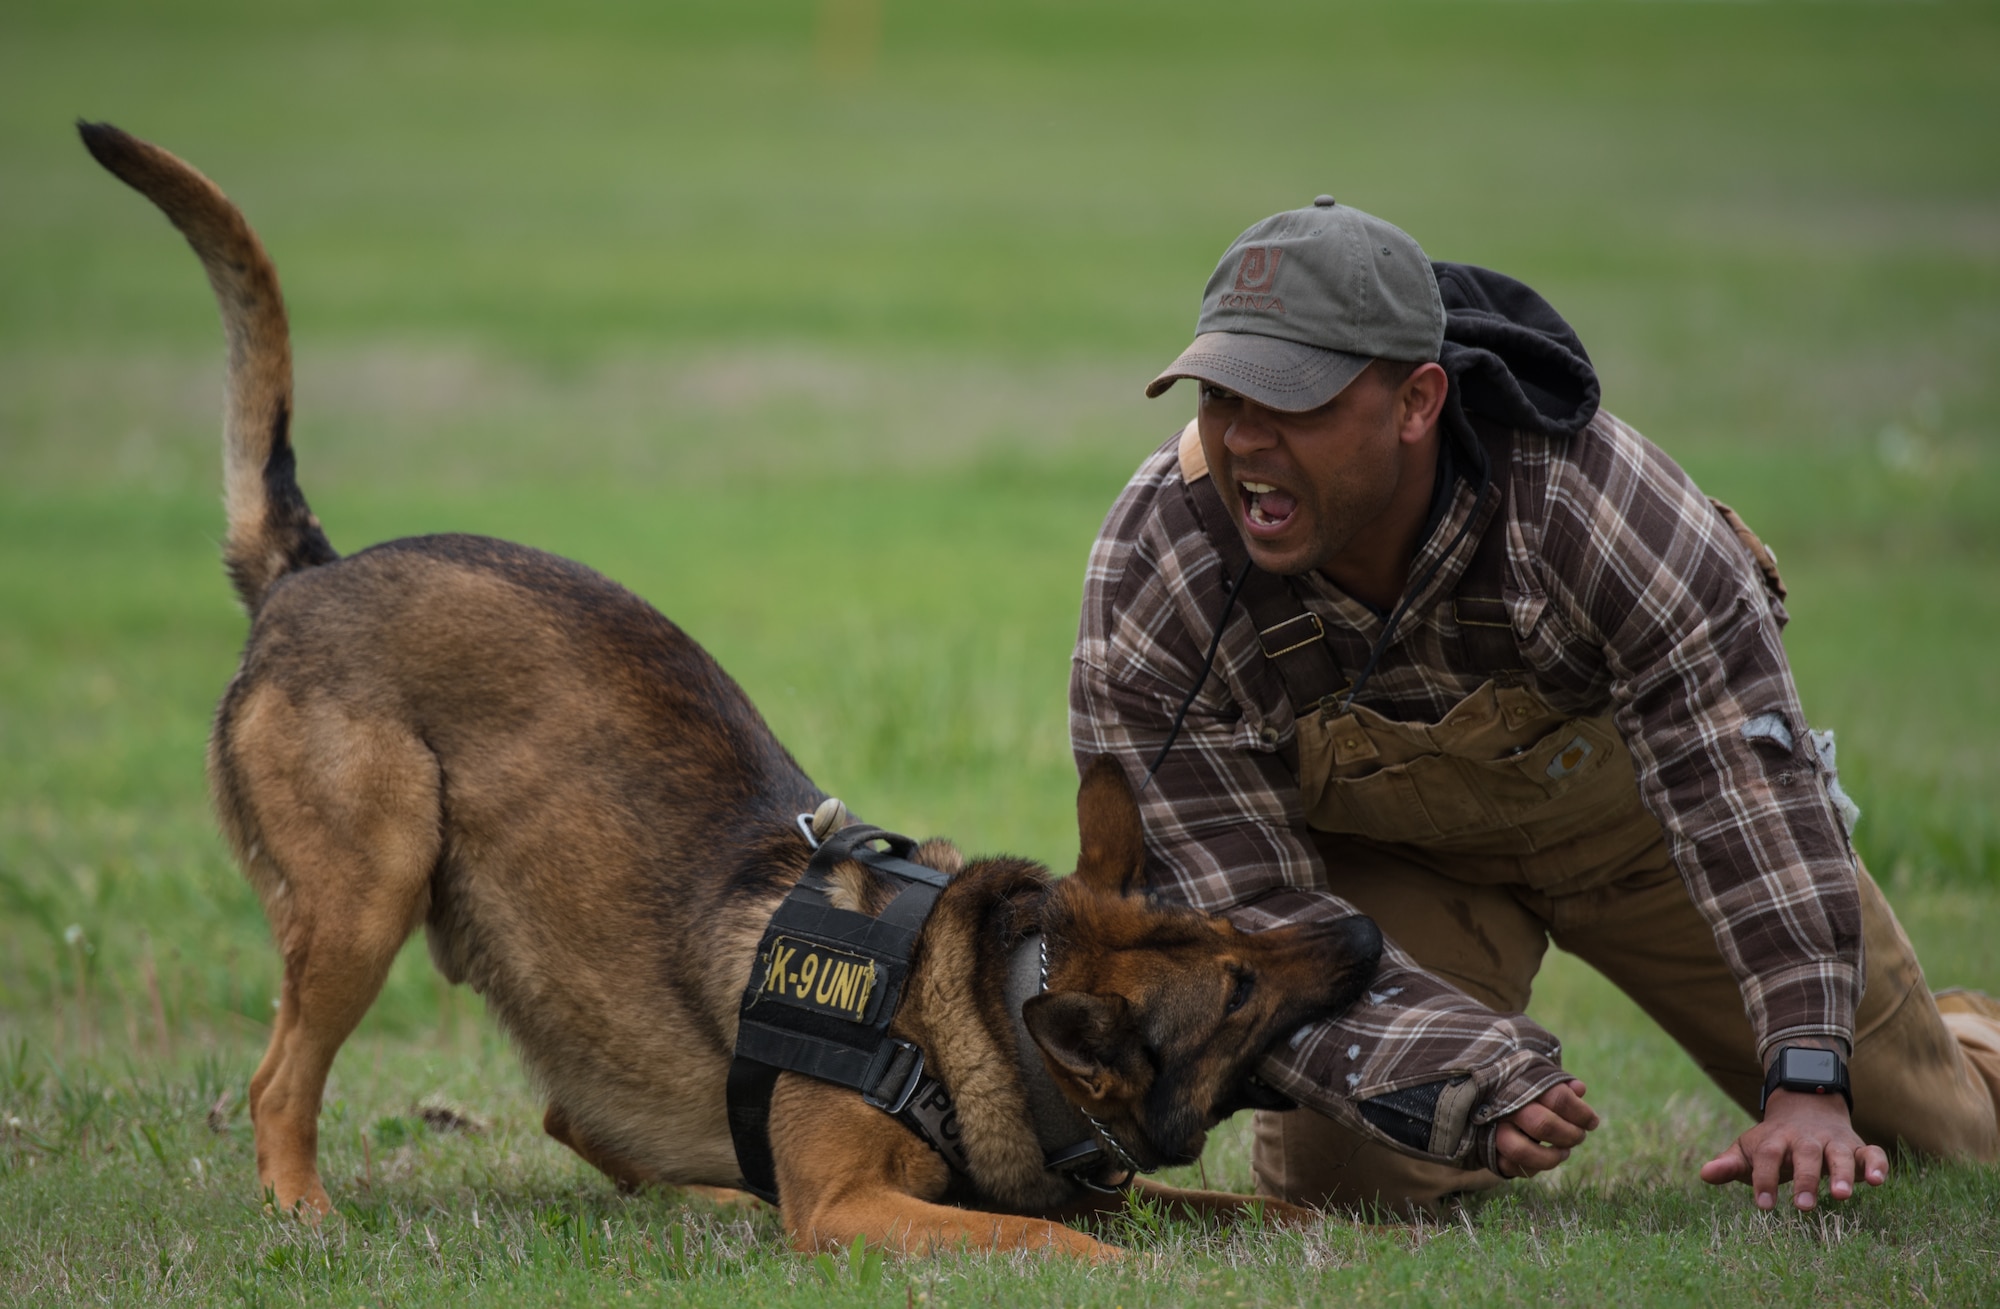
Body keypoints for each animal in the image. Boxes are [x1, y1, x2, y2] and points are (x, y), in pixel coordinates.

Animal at [82, 125, 1392, 1264]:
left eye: (1240, 931)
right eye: (1234, 986)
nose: (1363, 931)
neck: (969, 1002)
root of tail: (309, 570)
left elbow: (1220, 1205)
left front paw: (1327, 1225)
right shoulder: (845, 1206)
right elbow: (1044, 1231)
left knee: (578, 1119)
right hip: (367, 895)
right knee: (279, 1083)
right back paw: (303, 1210)